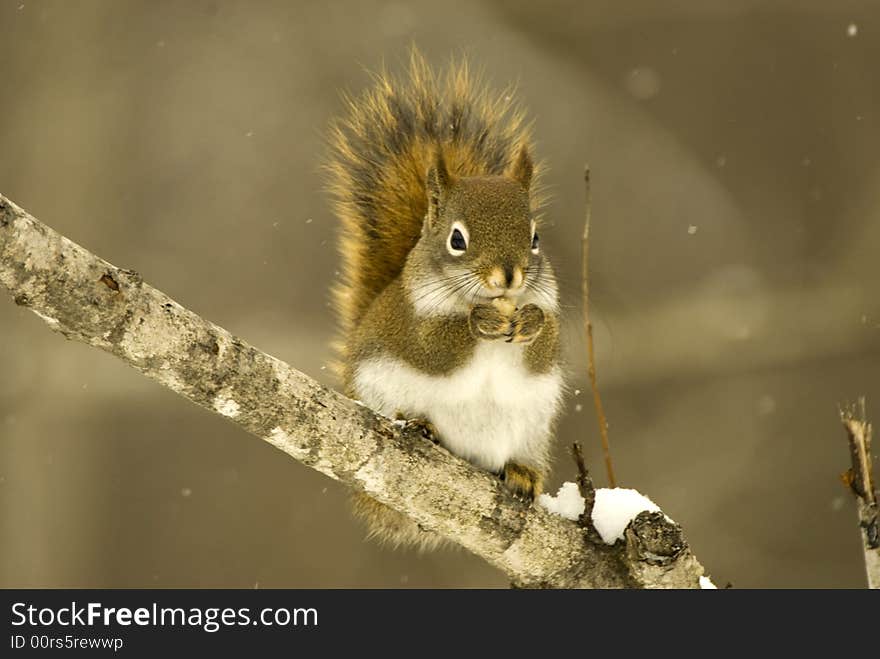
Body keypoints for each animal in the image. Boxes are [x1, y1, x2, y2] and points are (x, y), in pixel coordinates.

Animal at [324, 49, 564, 548]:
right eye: (457, 239)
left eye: (535, 238)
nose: (509, 276)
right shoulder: (412, 323)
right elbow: (433, 349)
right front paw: (481, 323)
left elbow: (545, 347)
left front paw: (531, 322)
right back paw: (423, 427)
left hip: (532, 426)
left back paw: (522, 473)